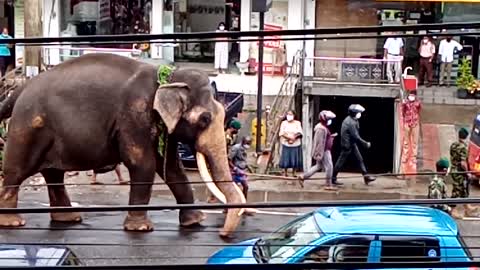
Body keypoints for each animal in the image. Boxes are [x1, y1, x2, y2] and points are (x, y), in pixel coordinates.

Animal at [0, 53, 248, 238]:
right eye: (204, 119)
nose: (222, 235)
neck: (168, 78)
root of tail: (19, 89)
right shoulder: (134, 115)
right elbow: (143, 163)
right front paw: (141, 228)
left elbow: (172, 167)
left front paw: (194, 222)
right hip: (27, 128)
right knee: (16, 171)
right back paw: (13, 223)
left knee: (53, 174)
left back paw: (69, 218)